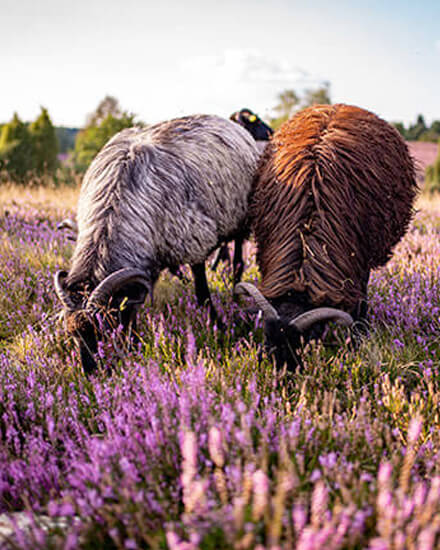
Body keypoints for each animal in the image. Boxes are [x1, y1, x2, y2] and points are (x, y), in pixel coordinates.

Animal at [237, 103, 420, 370]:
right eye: (266, 334)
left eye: (308, 338)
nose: (282, 372)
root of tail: (338, 105)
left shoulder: (357, 264)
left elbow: (360, 304)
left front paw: (358, 341)